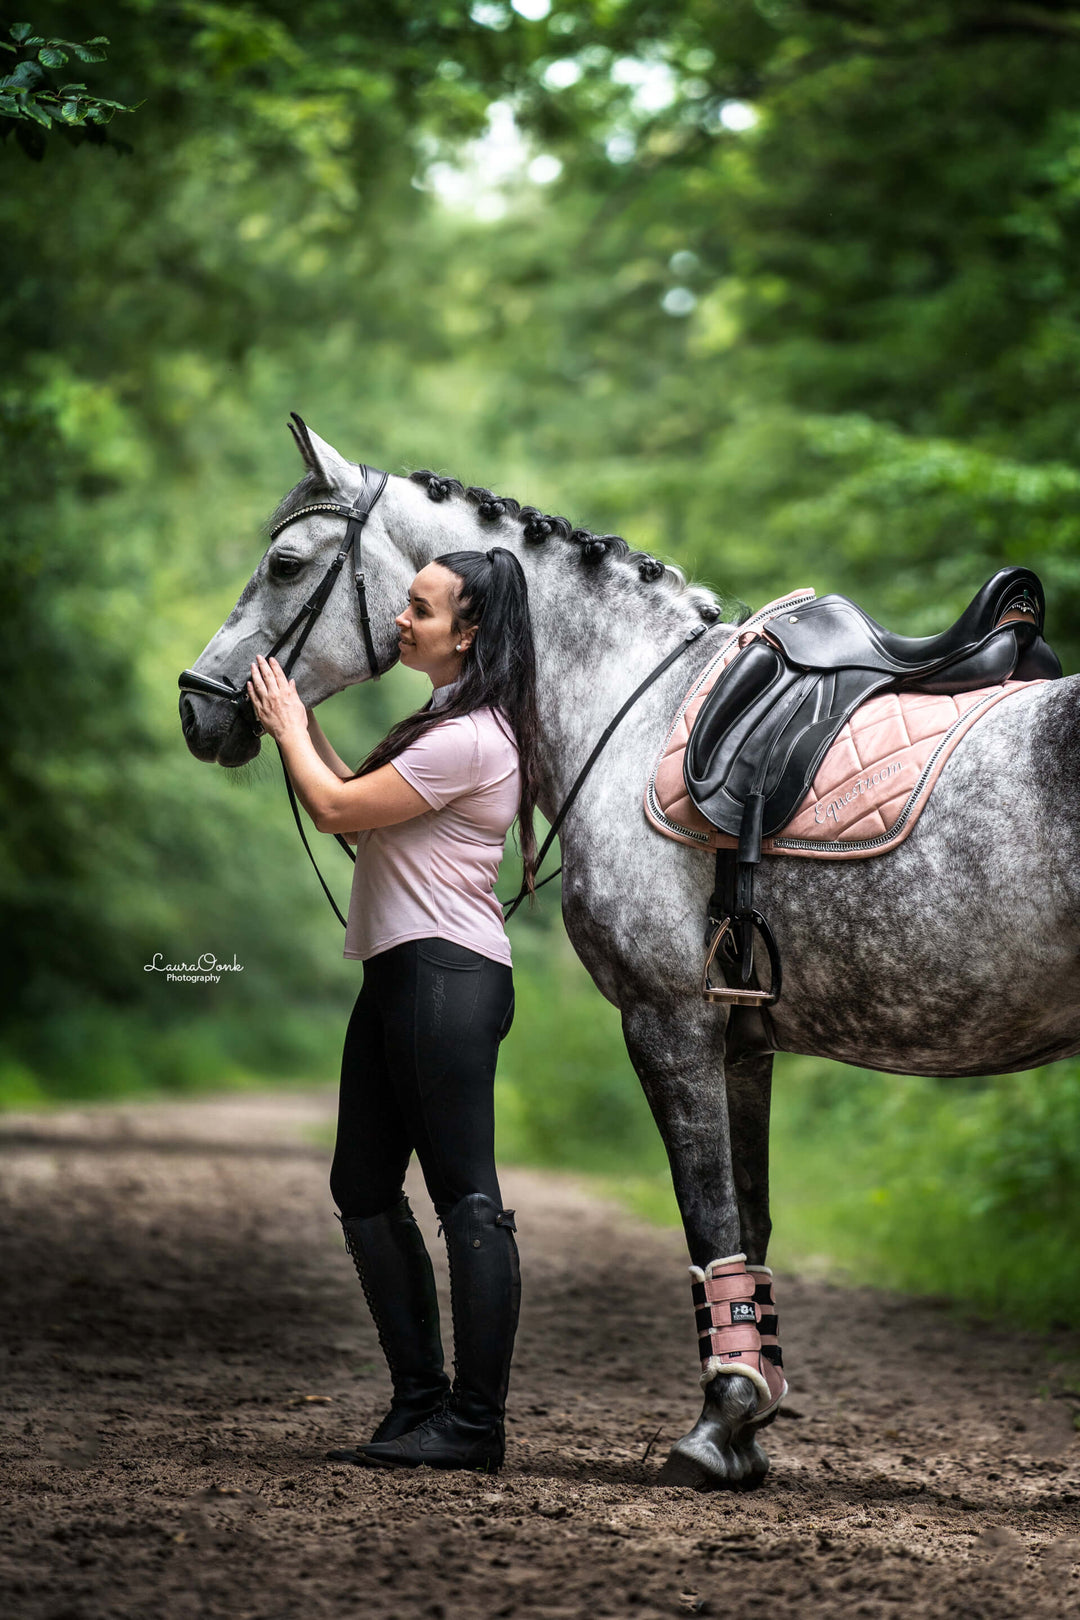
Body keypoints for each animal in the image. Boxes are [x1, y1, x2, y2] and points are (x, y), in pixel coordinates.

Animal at [179, 430, 1080, 1490]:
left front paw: (719, 1425)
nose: (198, 709)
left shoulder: (669, 1021)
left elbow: (711, 1220)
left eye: (284, 565)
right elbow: (749, 1222)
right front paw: (749, 1420)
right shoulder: (743, 1042)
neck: (635, 708)